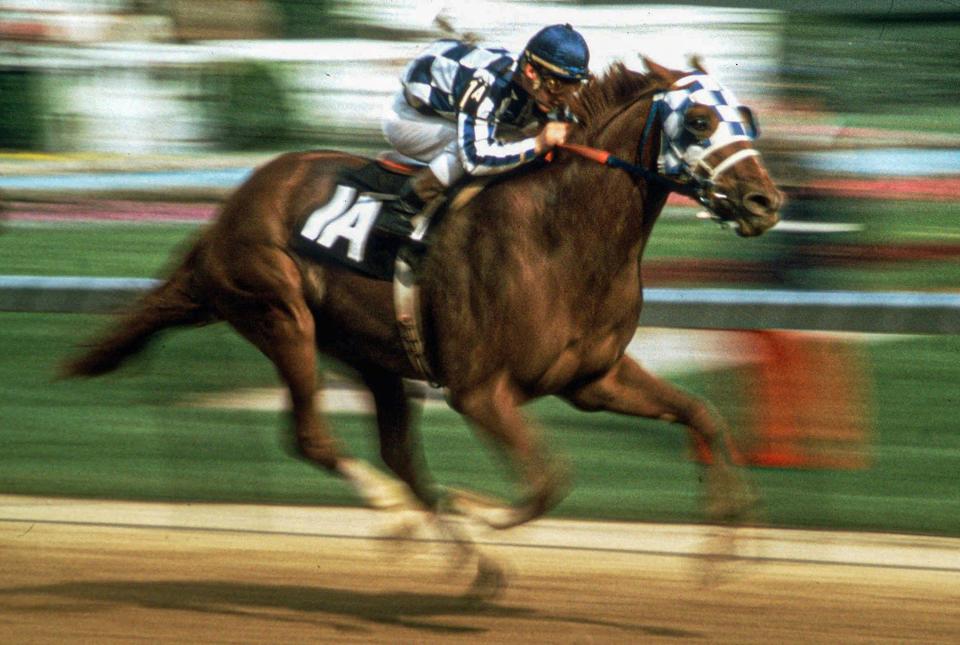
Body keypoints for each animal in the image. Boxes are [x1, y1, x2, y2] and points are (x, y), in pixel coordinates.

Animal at [63, 60, 780, 536]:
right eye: (698, 119)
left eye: (745, 116)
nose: (765, 201)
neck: (564, 235)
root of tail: (225, 213)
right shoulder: (479, 390)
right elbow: (548, 481)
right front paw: (477, 506)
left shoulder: (593, 377)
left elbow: (701, 413)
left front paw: (728, 532)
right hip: (278, 311)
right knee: (315, 437)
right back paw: (399, 514)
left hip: (372, 355)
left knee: (401, 457)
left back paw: (455, 551)